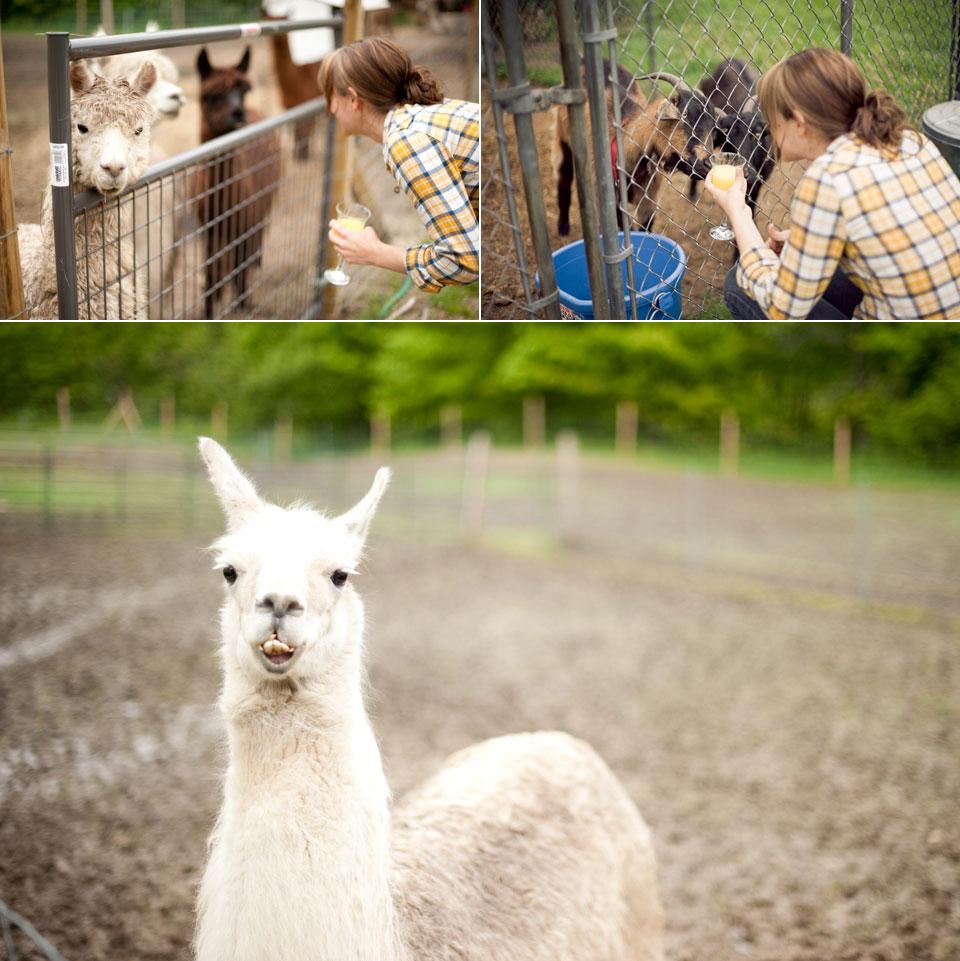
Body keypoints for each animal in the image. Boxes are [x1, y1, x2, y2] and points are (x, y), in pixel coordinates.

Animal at [192, 47, 280, 318]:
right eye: (208, 95)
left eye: (245, 90)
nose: (238, 113)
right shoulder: (209, 230)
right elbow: (210, 272)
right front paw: (209, 310)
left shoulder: (245, 224)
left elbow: (240, 265)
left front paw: (243, 303)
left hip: (266, 200)